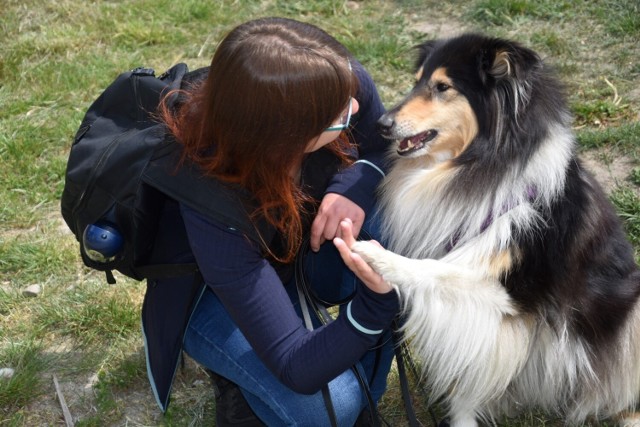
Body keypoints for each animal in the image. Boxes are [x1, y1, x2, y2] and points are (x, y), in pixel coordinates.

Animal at [350, 34, 640, 427]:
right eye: (416, 81)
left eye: (442, 87)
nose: (381, 123)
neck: (475, 165)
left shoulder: (508, 294)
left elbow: (434, 269)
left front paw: (374, 255)